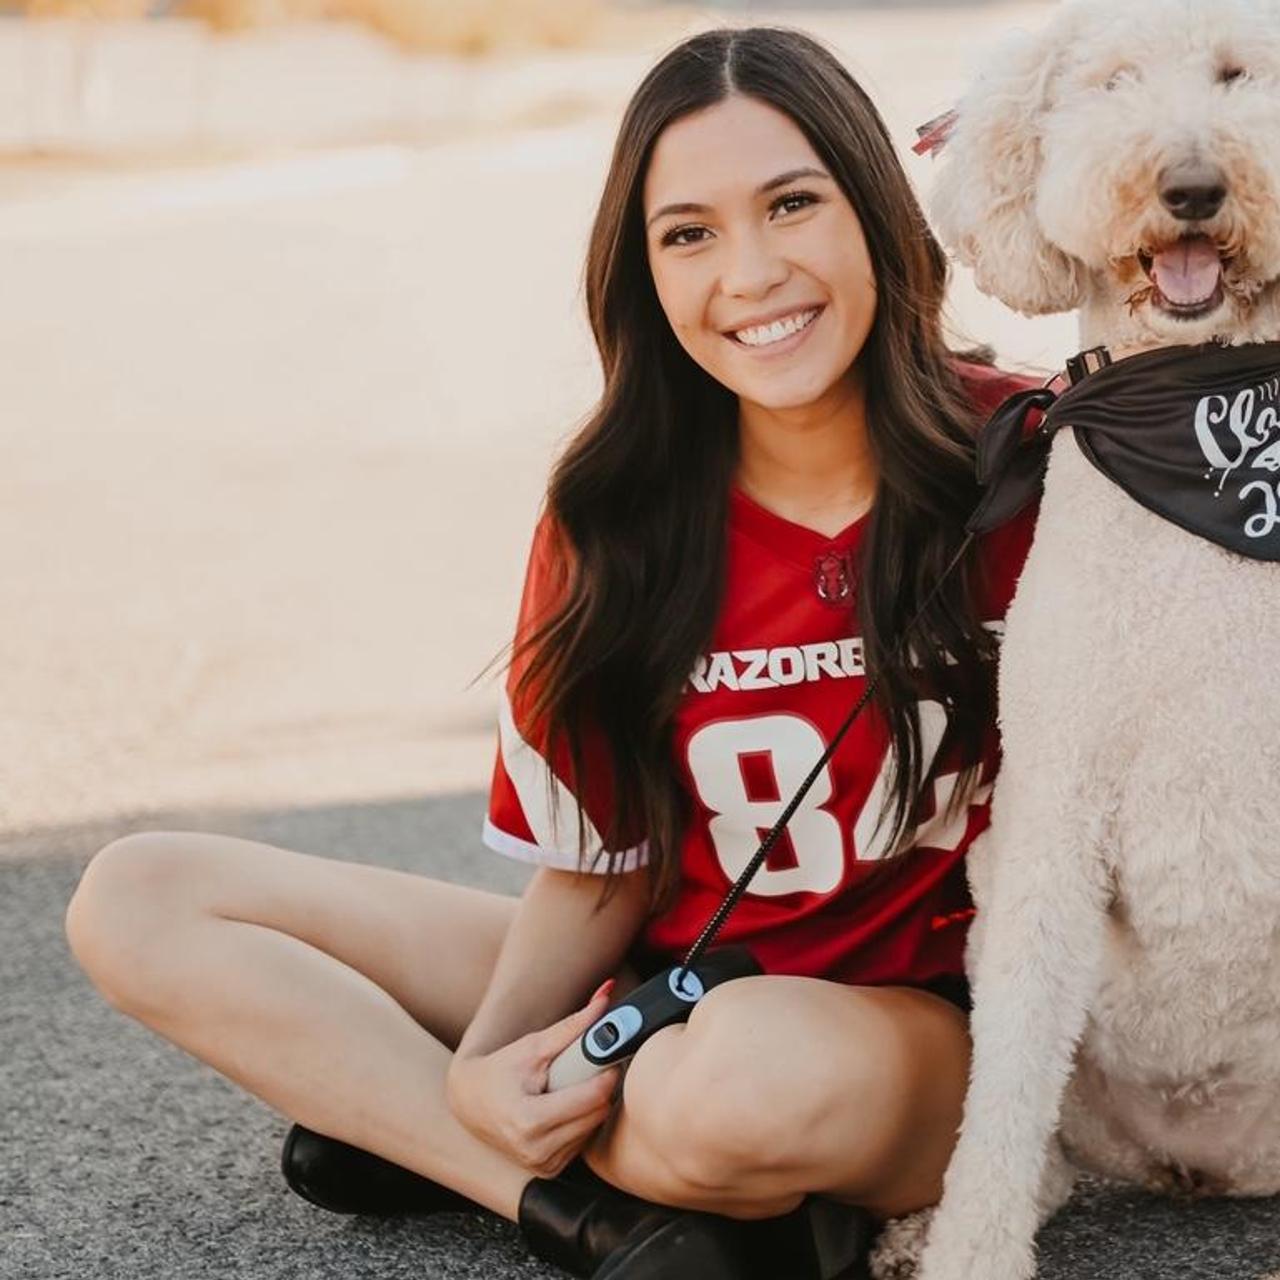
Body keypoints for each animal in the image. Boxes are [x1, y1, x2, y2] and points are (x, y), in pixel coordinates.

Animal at [875, 2, 1280, 1280]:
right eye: (1110, 82)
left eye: (1238, 74)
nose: (1190, 186)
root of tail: (1198, 1156)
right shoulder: (1053, 802)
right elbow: (1002, 1082)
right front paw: (969, 1249)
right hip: (995, 898)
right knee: (1032, 1120)